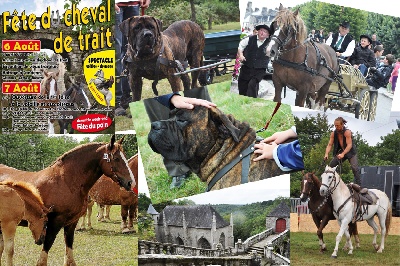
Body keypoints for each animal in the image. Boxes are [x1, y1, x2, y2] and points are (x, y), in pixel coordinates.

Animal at [0, 136, 135, 264]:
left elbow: (69, 249)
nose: (131, 183)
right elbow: (46, 248)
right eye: (116, 158)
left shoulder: (72, 222)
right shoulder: (54, 222)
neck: (66, 182)